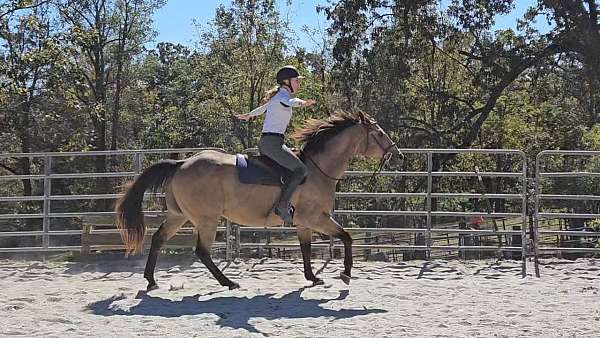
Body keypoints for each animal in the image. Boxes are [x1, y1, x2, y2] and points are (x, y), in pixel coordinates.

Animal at [115, 111, 400, 290]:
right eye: (379, 134)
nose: (398, 155)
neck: (316, 169)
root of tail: (182, 163)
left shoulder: (304, 223)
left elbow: (307, 249)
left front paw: (313, 278)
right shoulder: (315, 218)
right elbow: (347, 237)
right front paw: (346, 274)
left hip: (179, 216)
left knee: (158, 239)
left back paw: (152, 281)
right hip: (206, 220)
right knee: (202, 252)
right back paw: (228, 282)